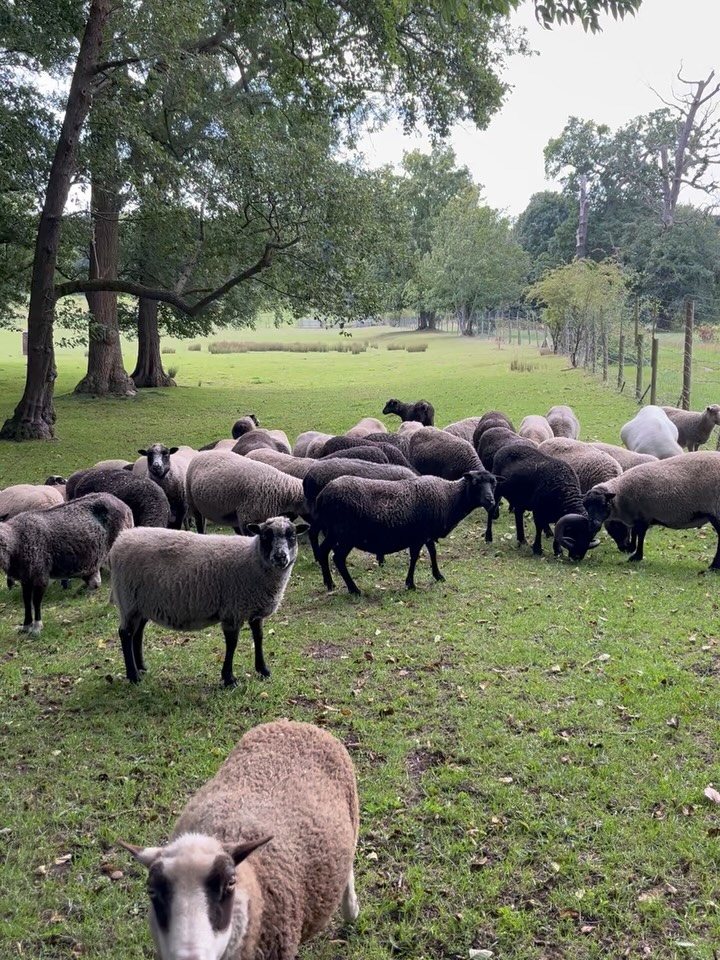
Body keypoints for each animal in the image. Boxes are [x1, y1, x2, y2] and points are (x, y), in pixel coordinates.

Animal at [0, 493, 133, 633]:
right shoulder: (26, 577)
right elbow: (26, 600)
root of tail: (125, 506)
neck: (16, 540)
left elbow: (35, 601)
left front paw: (36, 627)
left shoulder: (40, 574)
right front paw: (26, 626)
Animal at [109, 517, 304, 684]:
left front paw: (263, 670)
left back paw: (142, 667)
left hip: (142, 603)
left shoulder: (254, 612)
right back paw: (133, 676)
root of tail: (121, 539)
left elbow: (259, 637)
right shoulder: (232, 610)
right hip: (127, 600)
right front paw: (229, 679)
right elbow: (232, 644)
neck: (253, 559)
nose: (280, 557)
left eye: (292, 536)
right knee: (126, 633)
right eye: (265, 536)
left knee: (138, 633)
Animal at [314, 469, 498, 593]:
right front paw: (410, 584)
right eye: (475, 483)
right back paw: (354, 589)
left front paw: (438, 575)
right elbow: (415, 557)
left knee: (323, 551)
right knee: (338, 558)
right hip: (346, 535)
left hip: (333, 533)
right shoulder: (418, 536)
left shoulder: (426, 534)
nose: (491, 500)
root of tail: (322, 495)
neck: (450, 497)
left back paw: (329, 584)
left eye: (493, 483)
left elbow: (433, 552)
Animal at [584, 452, 720, 568]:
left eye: (603, 504)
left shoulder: (643, 517)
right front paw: (632, 548)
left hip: (716, 511)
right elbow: (635, 534)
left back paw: (714, 567)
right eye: (586, 506)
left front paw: (636, 556)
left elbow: (640, 536)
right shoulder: (637, 517)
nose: (593, 525)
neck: (621, 494)